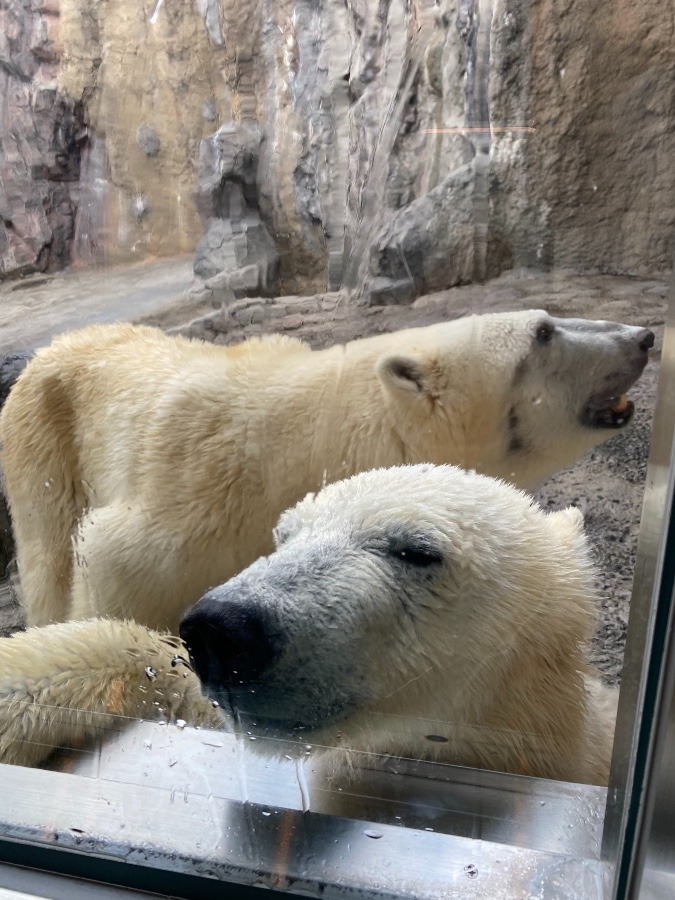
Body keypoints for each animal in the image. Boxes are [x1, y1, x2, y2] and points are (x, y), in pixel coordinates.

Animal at [0, 312, 652, 632]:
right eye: (542, 332)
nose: (643, 337)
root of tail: (51, 346)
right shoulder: (188, 508)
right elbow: (115, 572)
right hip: (42, 441)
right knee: (48, 556)